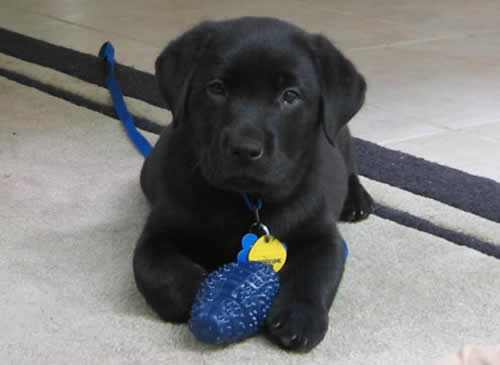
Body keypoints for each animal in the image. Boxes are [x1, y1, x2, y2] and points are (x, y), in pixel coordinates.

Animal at [134, 16, 376, 350]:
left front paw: (300, 316)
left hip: (341, 138)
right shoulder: (158, 228)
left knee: (351, 167)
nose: (244, 148)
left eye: (290, 95)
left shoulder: (323, 235)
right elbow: (152, 269)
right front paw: (193, 291)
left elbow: (317, 273)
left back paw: (357, 200)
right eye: (217, 89)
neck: (247, 199)